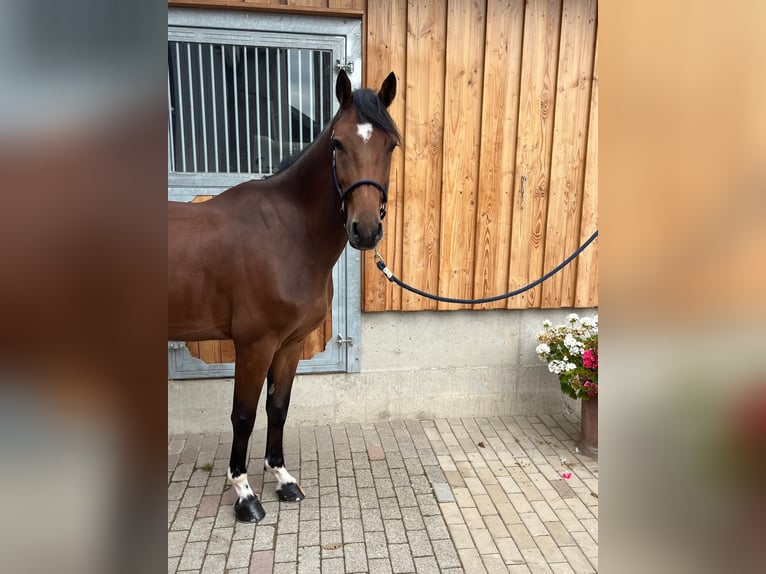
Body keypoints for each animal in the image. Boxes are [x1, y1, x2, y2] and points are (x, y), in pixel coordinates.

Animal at [166, 70, 400, 524]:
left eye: (390, 144)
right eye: (337, 143)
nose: (365, 230)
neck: (285, 233)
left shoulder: (289, 345)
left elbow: (278, 407)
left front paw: (282, 479)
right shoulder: (254, 345)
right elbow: (243, 415)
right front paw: (244, 495)